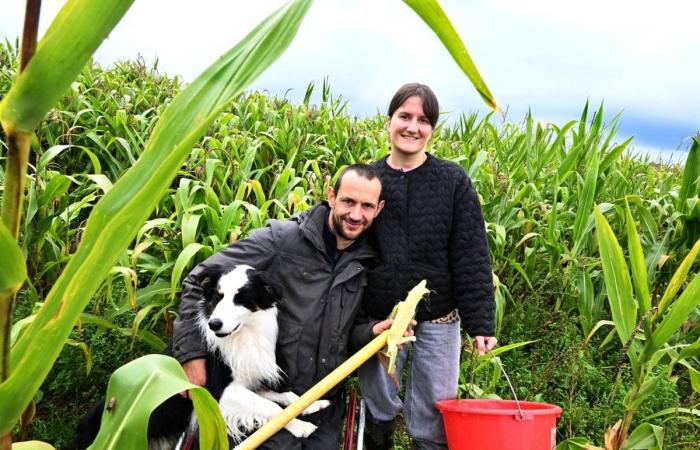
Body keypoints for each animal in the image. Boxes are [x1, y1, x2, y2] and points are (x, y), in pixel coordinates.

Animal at [72, 266, 330, 448]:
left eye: (241, 298)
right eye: (217, 297)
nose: (214, 324)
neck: (242, 335)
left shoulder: (249, 380)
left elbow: (286, 395)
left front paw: (312, 403)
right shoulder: (221, 392)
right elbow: (270, 407)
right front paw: (301, 426)